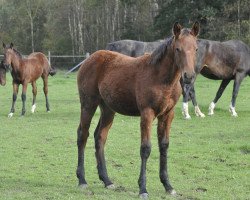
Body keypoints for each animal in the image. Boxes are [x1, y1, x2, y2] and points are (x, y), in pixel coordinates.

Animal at [77, 21, 200, 197]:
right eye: (178, 49)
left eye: (196, 49)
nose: (188, 76)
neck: (161, 78)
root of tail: (89, 59)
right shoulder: (147, 113)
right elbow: (146, 148)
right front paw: (143, 189)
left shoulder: (167, 115)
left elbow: (164, 145)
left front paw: (168, 185)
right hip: (88, 104)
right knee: (83, 134)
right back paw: (82, 180)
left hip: (108, 109)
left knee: (100, 137)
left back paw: (107, 180)